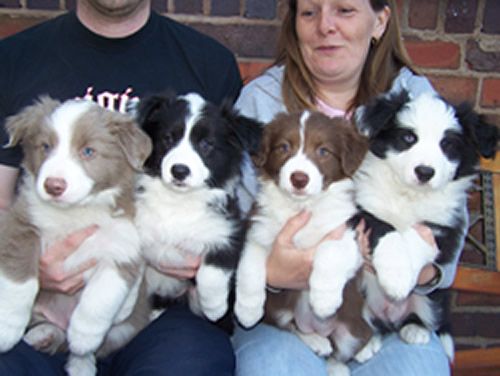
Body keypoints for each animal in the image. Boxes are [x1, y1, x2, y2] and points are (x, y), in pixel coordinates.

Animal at [0, 97, 152, 376]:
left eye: (88, 152)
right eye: (45, 147)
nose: (53, 185)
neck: (74, 212)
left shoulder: (122, 249)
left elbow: (101, 297)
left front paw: (84, 336)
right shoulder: (20, 226)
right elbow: (19, 282)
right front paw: (6, 328)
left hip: (124, 330)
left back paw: (80, 363)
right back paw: (41, 334)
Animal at [135, 92, 264, 324]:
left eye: (206, 144)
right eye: (168, 138)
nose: (179, 171)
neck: (178, 201)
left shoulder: (229, 234)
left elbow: (211, 273)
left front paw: (214, 307)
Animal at [234, 111, 376, 374]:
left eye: (323, 151)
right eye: (283, 147)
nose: (299, 178)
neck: (301, 207)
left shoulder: (347, 234)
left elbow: (329, 253)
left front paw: (323, 301)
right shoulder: (257, 231)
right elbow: (249, 268)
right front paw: (247, 310)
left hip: (350, 331)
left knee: (348, 348)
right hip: (279, 311)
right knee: (295, 329)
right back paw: (318, 341)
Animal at [354, 90, 498, 356]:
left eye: (447, 144)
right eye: (409, 137)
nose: (424, 172)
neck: (409, 195)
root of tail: (390, 318)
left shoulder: (443, 226)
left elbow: (415, 238)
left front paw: (401, 279)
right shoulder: (363, 207)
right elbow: (386, 229)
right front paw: (397, 278)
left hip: (434, 298)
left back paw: (415, 330)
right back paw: (366, 343)